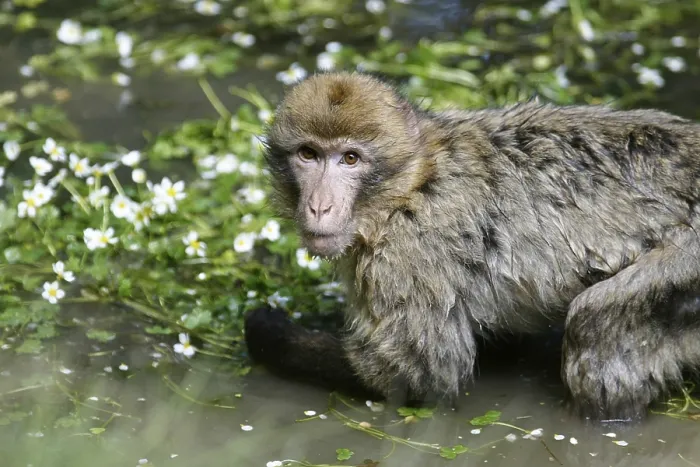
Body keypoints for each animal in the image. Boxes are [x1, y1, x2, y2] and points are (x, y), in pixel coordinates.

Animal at [243, 70, 700, 422]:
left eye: (350, 159)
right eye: (308, 154)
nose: (320, 205)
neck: (410, 185)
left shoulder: (408, 253)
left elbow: (416, 375)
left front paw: (266, 332)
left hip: (688, 265)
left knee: (594, 324)